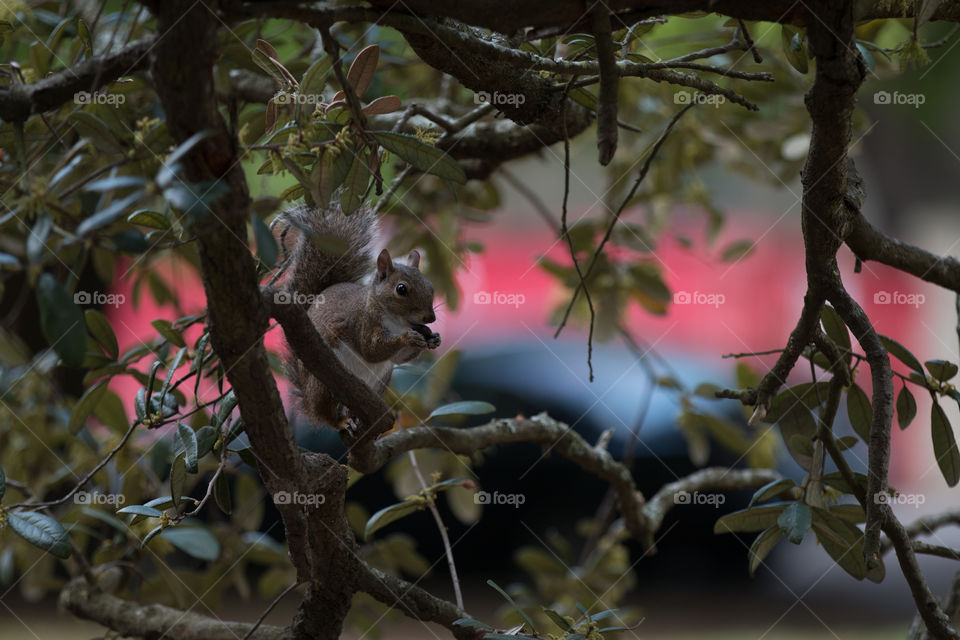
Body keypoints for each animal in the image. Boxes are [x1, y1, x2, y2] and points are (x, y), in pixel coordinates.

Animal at [275, 204, 441, 428]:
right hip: (323, 381)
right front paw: (407, 337)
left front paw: (433, 337)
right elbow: (370, 349)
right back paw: (339, 421)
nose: (430, 318)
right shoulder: (361, 322)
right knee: (325, 414)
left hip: (380, 380)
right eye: (401, 289)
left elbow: (398, 358)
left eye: (430, 286)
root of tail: (308, 401)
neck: (397, 322)